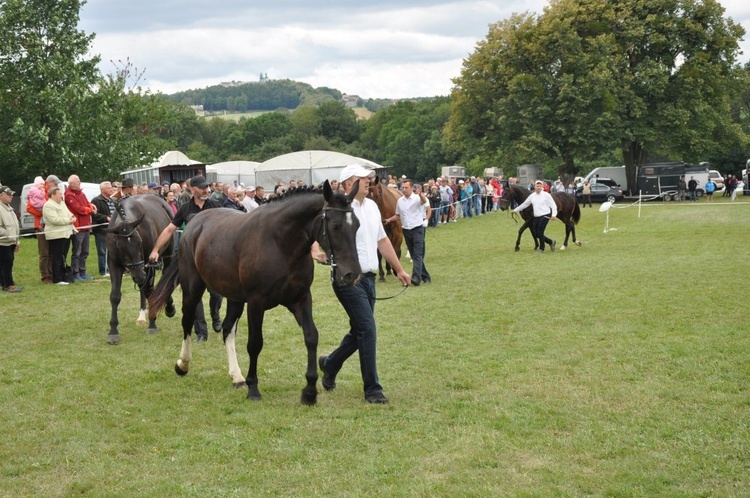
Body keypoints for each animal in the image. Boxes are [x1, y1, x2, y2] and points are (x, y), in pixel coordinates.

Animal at [106, 196, 176, 346]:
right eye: (119, 246)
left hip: (166, 255)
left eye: (139, 242)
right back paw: (142, 315)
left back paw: (168, 308)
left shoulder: (149, 264)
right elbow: (115, 296)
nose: (139, 275)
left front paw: (152, 324)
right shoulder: (114, 265)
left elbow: (150, 291)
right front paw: (113, 331)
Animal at [148, 182, 362, 404]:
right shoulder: (256, 304)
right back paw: (183, 364)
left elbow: (311, 336)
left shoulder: (301, 299)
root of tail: (193, 223)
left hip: (234, 297)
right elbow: (255, 343)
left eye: (357, 225)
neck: (280, 243)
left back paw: (236, 376)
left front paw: (309, 391)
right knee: (187, 321)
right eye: (335, 226)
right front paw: (254, 389)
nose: (352, 274)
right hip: (193, 288)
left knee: (227, 329)